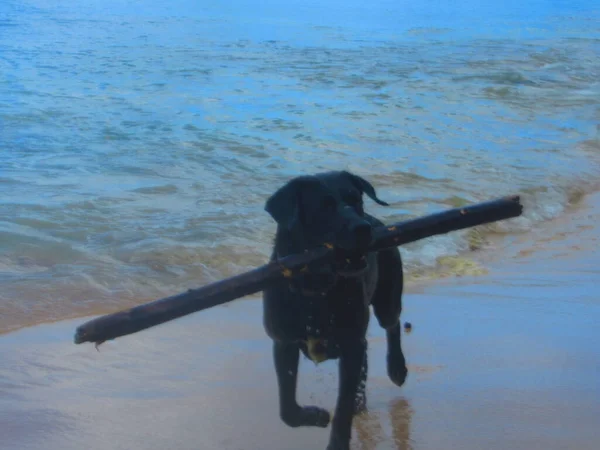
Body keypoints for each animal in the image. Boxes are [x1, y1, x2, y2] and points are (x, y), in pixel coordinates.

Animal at [262, 171, 408, 450]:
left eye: (356, 199)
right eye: (324, 206)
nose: (363, 228)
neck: (315, 288)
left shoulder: (351, 345)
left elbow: (343, 405)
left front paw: (338, 441)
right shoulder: (283, 342)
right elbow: (287, 408)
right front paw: (315, 416)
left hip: (388, 293)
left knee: (392, 324)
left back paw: (396, 367)